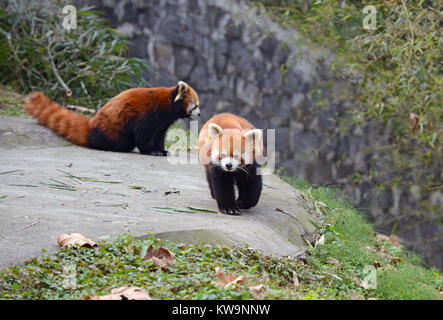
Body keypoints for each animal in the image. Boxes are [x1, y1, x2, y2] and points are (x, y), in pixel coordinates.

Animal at [22, 80, 199, 154]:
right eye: (196, 106)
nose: (199, 114)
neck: (169, 104)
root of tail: (92, 123)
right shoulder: (151, 114)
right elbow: (143, 134)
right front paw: (150, 151)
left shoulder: (162, 123)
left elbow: (159, 136)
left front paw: (161, 150)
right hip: (112, 130)